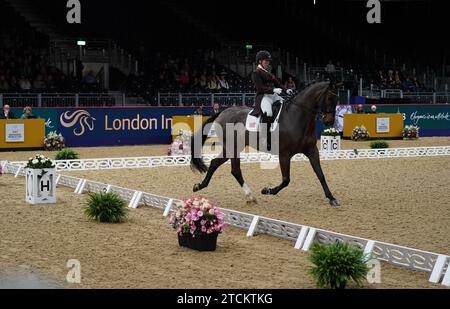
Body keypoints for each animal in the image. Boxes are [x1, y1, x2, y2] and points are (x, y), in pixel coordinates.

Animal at [190, 79, 342, 206]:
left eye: (337, 99)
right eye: (329, 98)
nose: (329, 121)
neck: (297, 116)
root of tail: (222, 112)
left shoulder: (311, 151)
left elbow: (320, 174)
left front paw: (332, 198)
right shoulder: (284, 154)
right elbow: (286, 180)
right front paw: (267, 190)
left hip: (231, 148)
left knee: (217, 164)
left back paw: (200, 186)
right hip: (233, 147)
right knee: (234, 170)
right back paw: (250, 196)